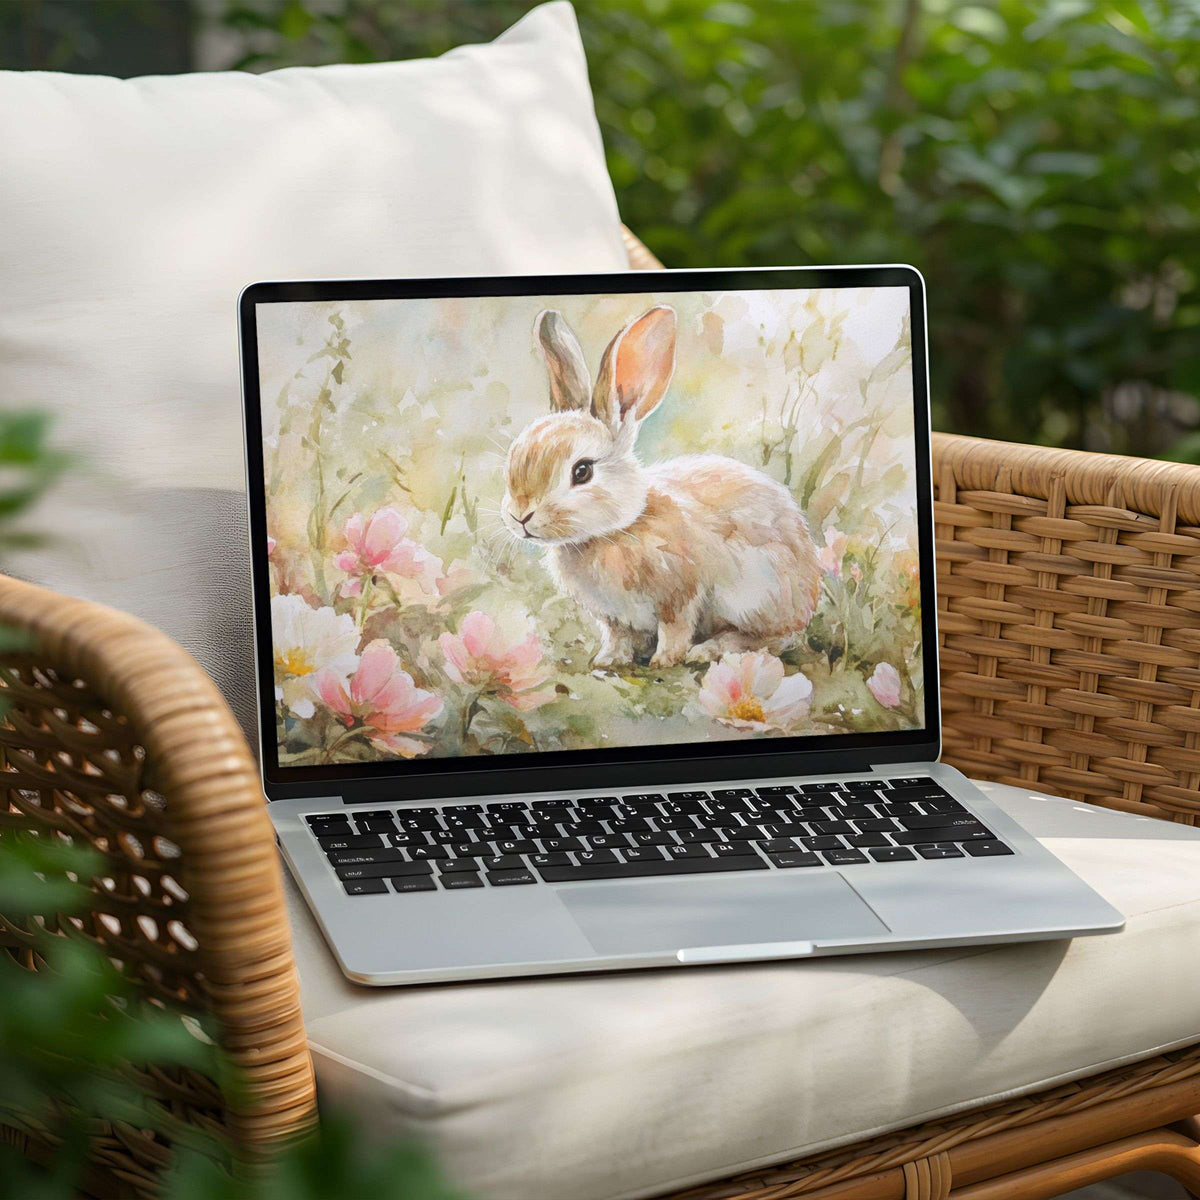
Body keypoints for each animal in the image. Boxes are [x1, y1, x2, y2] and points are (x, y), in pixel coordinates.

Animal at [502, 304, 821, 669]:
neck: (616, 531)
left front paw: (663, 660)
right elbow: (617, 636)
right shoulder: (613, 617)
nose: (520, 517)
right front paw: (607, 660)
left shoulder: (680, 592)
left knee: (772, 639)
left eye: (582, 471)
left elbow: (675, 628)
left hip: (755, 595)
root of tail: (810, 590)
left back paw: (709, 649)